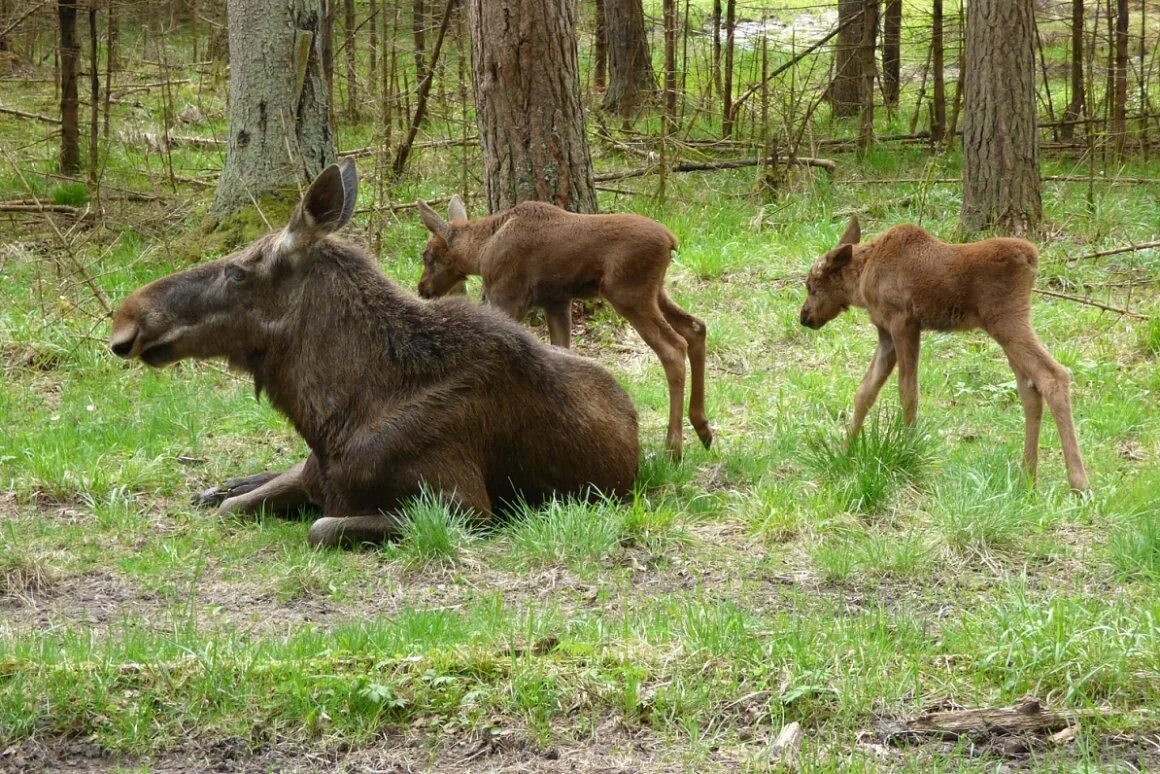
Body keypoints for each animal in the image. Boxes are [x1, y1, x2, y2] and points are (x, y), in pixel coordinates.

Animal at [107, 160, 640, 547]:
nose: (126, 319)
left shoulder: (466, 508)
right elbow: (234, 507)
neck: (330, 421)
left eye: (237, 272)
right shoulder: (315, 472)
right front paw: (229, 491)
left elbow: (320, 527)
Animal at [412, 197, 709, 459]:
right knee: (696, 327)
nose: (422, 288)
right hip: (656, 292)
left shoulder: (508, 295)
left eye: (427, 255)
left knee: (673, 348)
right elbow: (562, 351)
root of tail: (671, 241)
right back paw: (703, 428)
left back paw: (674, 446)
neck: (481, 250)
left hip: (629, 294)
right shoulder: (556, 301)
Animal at [802, 213, 1090, 489]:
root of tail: (1031, 258)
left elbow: (908, 392)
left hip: (1006, 320)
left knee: (1053, 375)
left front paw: (909, 451)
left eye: (811, 286)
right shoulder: (885, 332)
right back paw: (1028, 477)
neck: (862, 280)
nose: (804, 317)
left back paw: (1078, 482)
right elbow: (865, 391)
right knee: (1030, 389)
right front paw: (845, 451)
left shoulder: (904, 322)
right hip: (1008, 328)